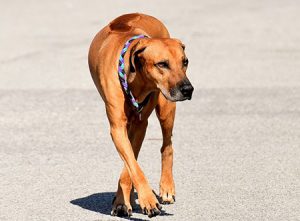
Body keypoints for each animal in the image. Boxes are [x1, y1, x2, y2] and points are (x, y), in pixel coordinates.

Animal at [88, 12, 193, 218]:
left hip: (166, 108)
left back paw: (166, 187)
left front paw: (124, 200)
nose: (188, 89)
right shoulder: (118, 127)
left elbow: (131, 166)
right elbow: (132, 165)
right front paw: (128, 201)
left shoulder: (140, 125)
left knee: (167, 146)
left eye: (185, 62)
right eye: (162, 64)